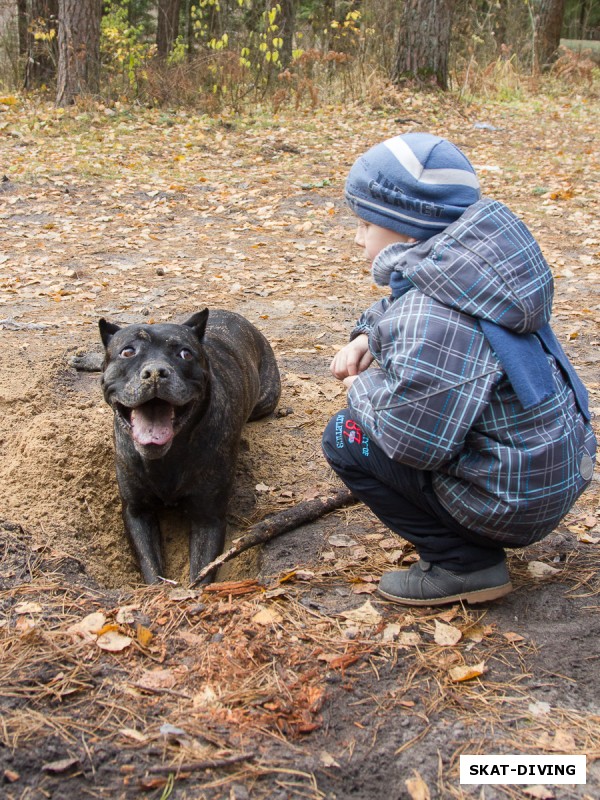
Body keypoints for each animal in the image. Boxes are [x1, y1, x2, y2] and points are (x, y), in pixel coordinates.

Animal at [100, 310, 282, 584]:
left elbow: (202, 571)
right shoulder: (136, 512)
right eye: (128, 352)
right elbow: (151, 567)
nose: (155, 372)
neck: (168, 458)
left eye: (185, 353)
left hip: (265, 400)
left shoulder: (209, 518)